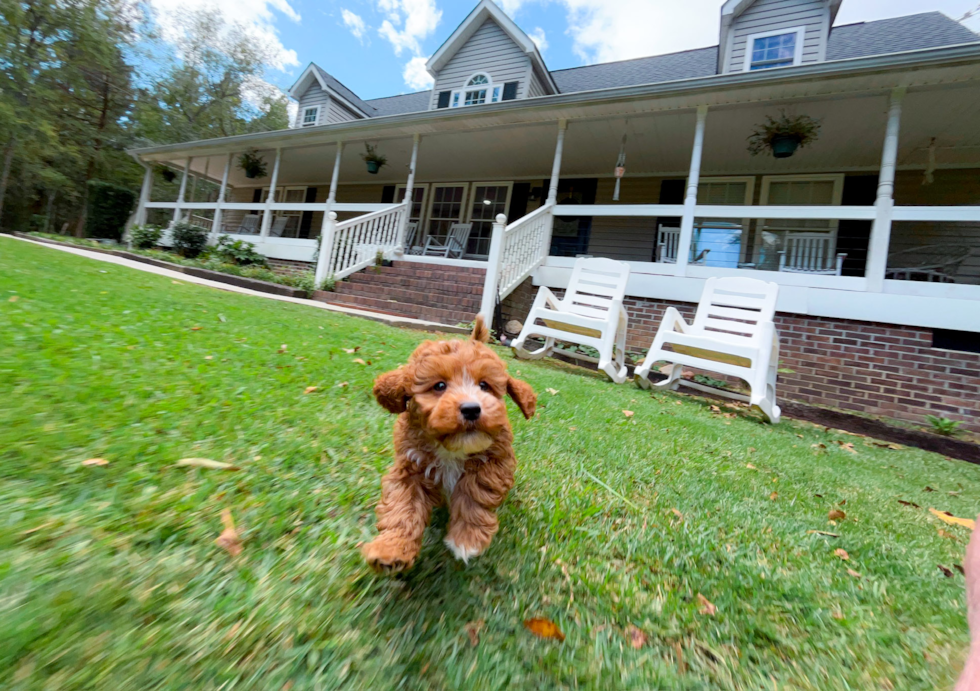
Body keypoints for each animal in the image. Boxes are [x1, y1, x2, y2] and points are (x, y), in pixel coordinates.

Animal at [364, 318, 536, 572]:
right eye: (439, 386)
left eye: (484, 385)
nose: (472, 409)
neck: (451, 448)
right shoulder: (409, 468)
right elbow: (402, 505)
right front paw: (391, 549)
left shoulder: (494, 462)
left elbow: (474, 493)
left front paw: (466, 539)